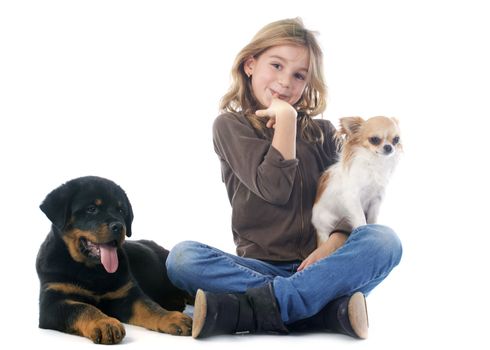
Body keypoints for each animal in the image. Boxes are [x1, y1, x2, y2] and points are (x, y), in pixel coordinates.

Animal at [36, 176, 192, 344]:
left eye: (121, 210)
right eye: (91, 209)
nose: (119, 226)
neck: (92, 270)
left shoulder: (127, 294)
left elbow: (149, 307)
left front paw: (171, 317)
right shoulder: (52, 301)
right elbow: (83, 308)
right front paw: (105, 323)